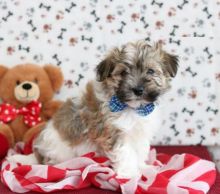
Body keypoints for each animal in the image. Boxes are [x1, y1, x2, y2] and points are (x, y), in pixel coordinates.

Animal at [8, 41, 179, 179]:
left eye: (150, 71)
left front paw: (143, 167)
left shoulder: (140, 133)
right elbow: (126, 153)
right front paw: (129, 173)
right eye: (123, 73)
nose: (138, 90)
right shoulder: (114, 133)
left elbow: (140, 150)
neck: (133, 108)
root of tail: (38, 153)